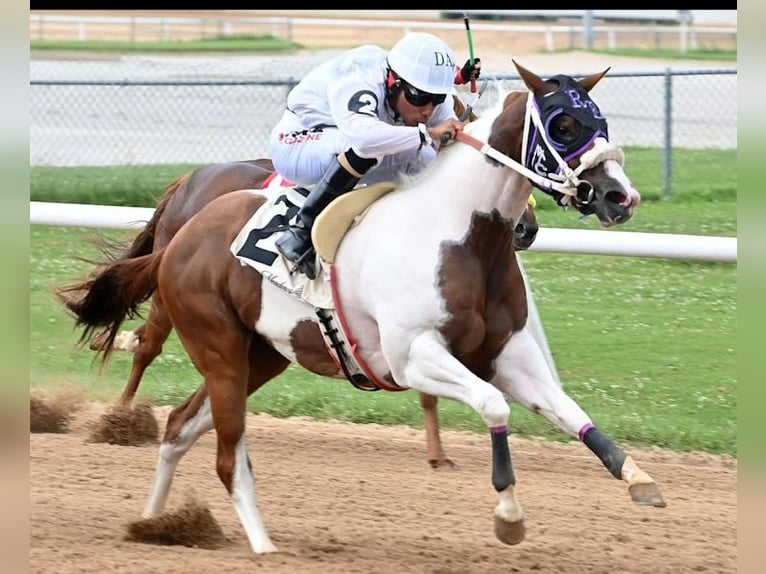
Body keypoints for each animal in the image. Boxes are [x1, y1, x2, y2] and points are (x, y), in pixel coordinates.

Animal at [58, 61, 663, 554]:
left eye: (602, 121)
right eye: (563, 124)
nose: (621, 197)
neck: (458, 233)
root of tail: (180, 233)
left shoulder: (508, 353)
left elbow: (573, 414)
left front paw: (640, 479)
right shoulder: (414, 356)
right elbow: (495, 407)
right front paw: (509, 515)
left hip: (262, 356)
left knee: (182, 425)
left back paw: (154, 523)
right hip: (219, 347)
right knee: (224, 450)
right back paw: (258, 542)